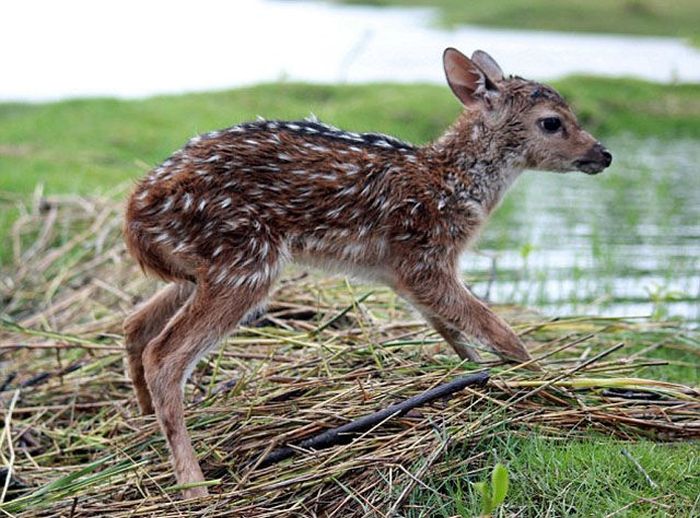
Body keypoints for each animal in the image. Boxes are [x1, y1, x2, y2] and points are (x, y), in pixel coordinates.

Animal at [123, 48, 608, 500]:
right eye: (552, 122)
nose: (603, 154)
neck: (451, 186)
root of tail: (134, 215)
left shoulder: (402, 275)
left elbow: (454, 333)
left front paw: (484, 377)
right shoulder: (423, 259)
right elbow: (497, 329)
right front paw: (548, 380)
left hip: (200, 268)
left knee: (136, 324)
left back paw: (144, 426)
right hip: (243, 259)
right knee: (164, 355)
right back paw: (195, 487)